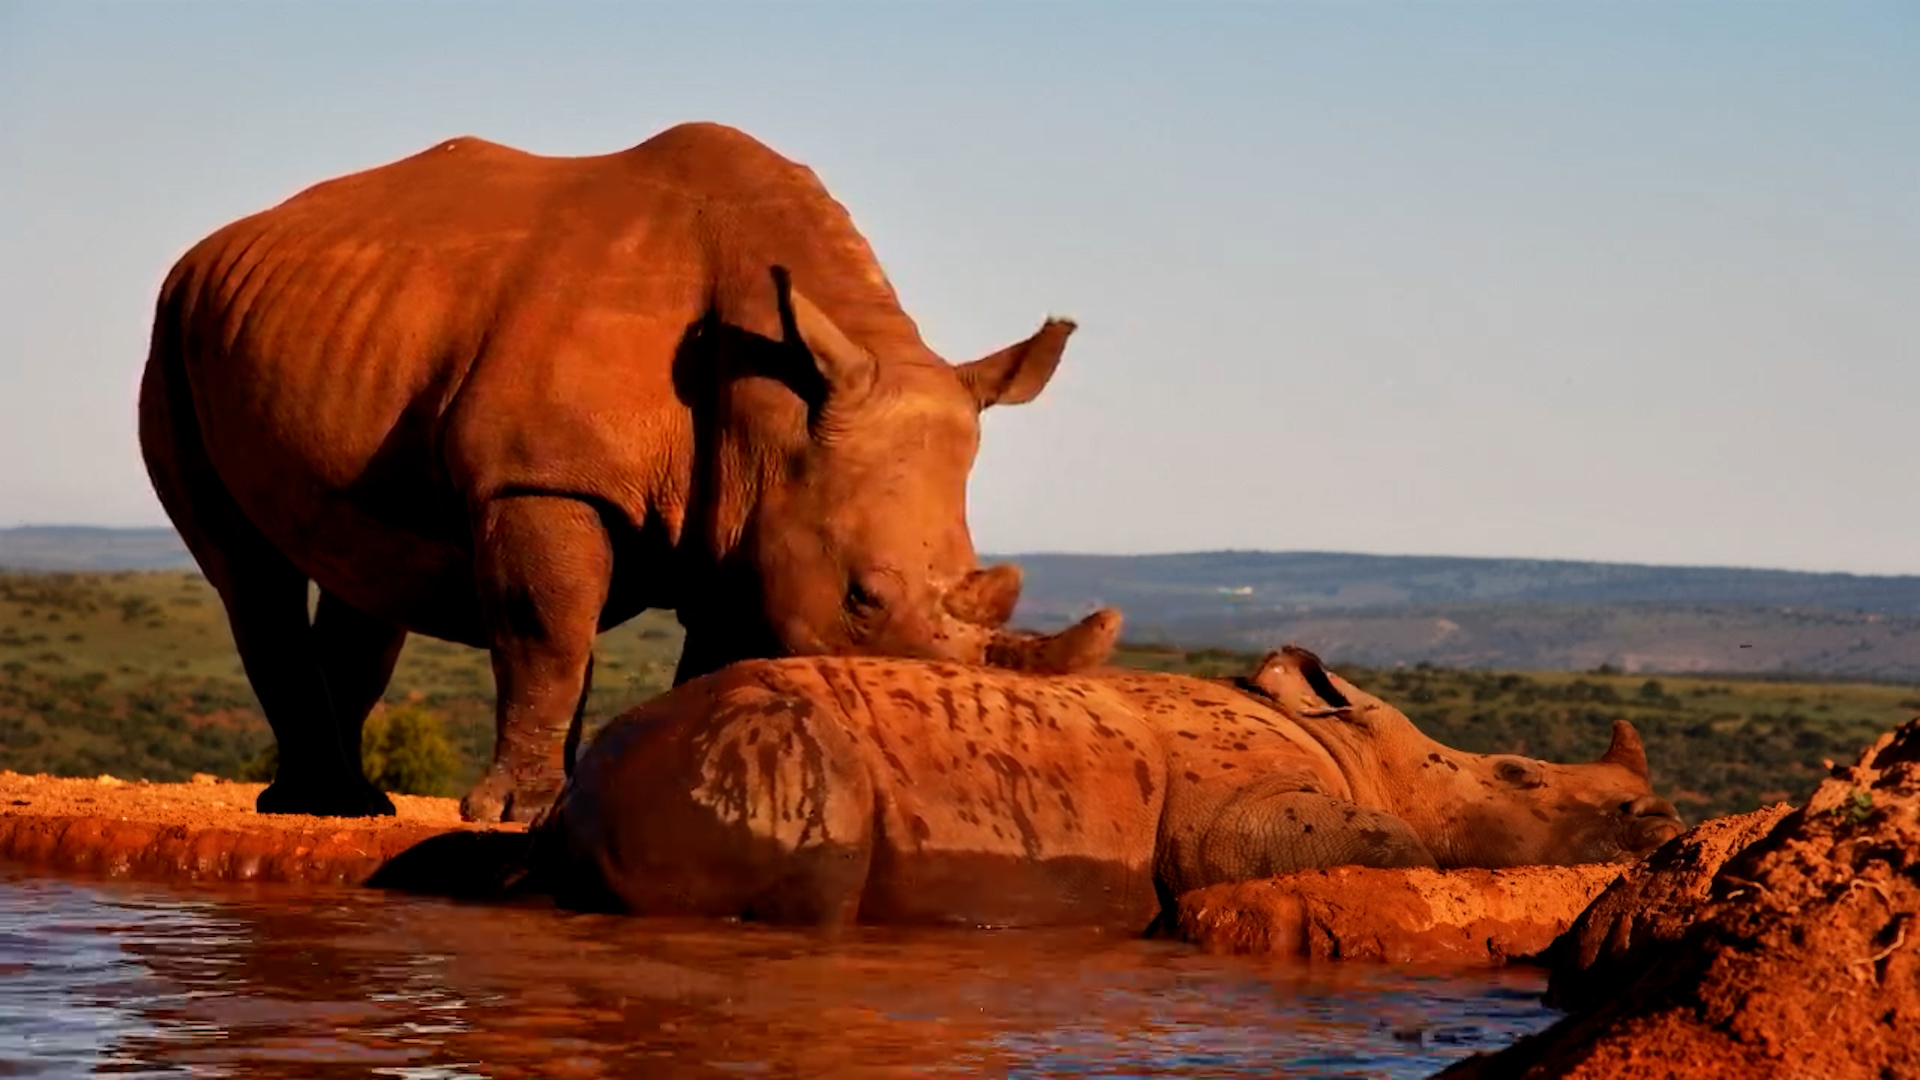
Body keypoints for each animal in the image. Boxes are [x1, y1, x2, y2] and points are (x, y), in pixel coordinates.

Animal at [138, 121, 1117, 823]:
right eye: (862, 600)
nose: (925, 753)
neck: (775, 396)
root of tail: (220, 243)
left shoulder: (751, 513)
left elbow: (716, 658)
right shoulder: (543, 476)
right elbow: (548, 634)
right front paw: (520, 814)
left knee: (366, 573)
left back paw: (349, 806)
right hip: (173, 326)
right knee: (248, 573)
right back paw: (324, 803)